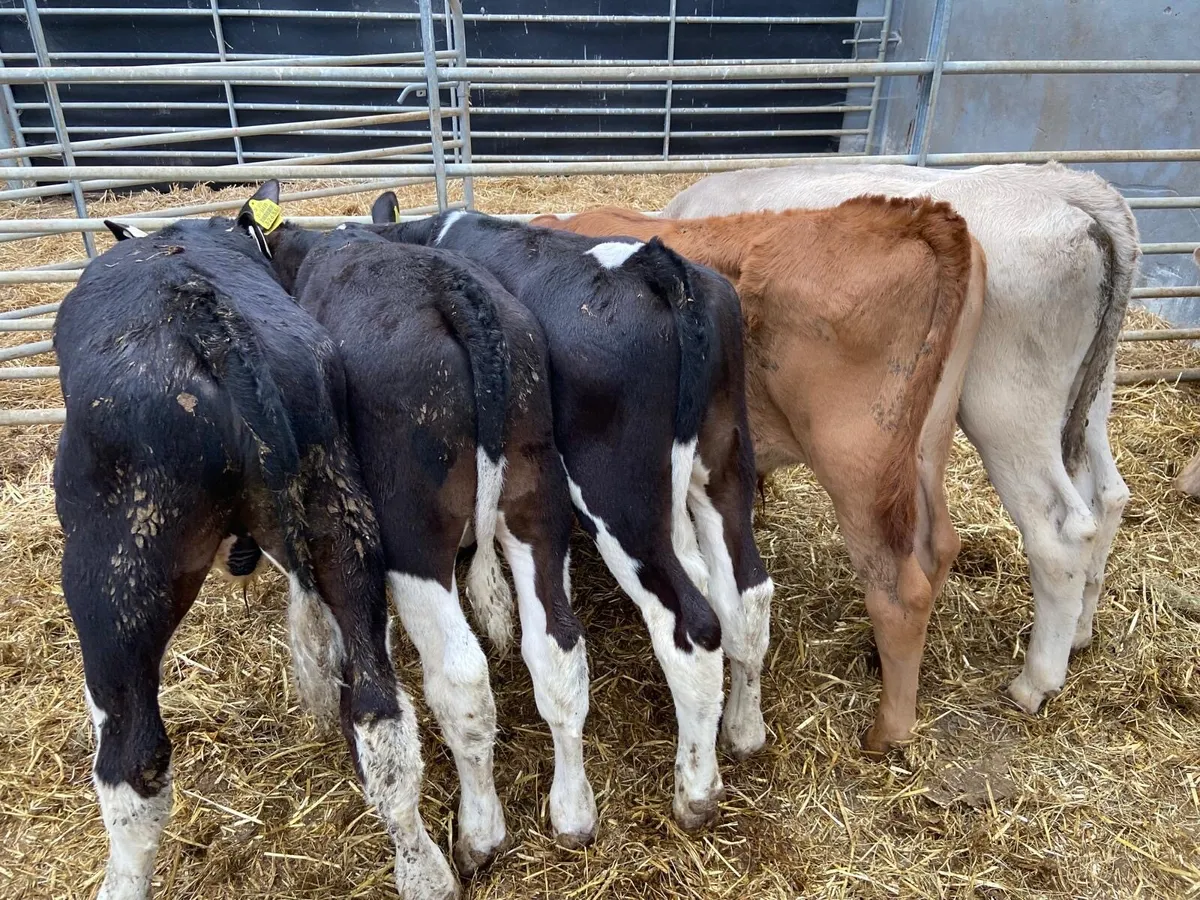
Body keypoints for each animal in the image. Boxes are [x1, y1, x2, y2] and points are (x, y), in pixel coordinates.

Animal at [55, 213, 457, 897]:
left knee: (133, 765)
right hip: (340, 514)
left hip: (113, 581)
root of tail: (208, 326)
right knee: (379, 710)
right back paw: (423, 870)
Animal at [238, 181, 597, 857]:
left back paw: (480, 831)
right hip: (538, 503)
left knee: (462, 679)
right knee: (557, 648)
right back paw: (573, 811)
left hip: (413, 538)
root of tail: (458, 297)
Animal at [369, 194, 774, 830]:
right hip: (725, 458)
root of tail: (658, 268)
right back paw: (743, 728)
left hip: (617, 495)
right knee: (746, 595)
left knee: (691, 622)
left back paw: (696, 788)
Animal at [531, 198, 986, 751]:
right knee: (938, 544)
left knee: (900, 594)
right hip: (925, 446)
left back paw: (886, 732)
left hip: (858, 464)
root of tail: (918, 215)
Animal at [665, 161, 1139, 715]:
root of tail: (1077, 195)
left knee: (1061, 531)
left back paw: (1035, 681)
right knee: (1106, 496)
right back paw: (1079, 633)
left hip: (1008, 409)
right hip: (1088, 393)